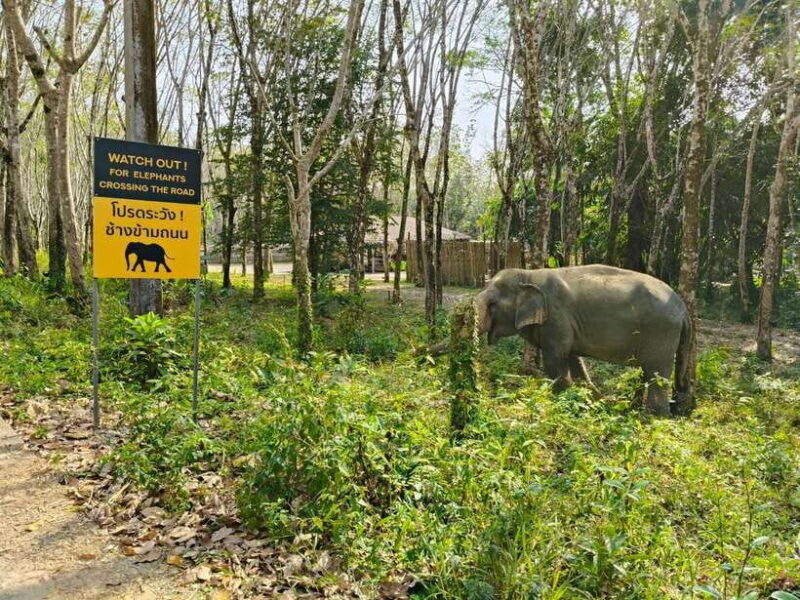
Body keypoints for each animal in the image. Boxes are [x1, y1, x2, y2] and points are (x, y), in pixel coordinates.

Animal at [475, 265, 692, 416]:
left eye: (493, 304)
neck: (528, 275)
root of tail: (682, 308)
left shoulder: (556, 317)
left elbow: (555, 359)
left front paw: (562, 403)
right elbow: (572, 358)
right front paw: (593, 399)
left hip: (661, 333)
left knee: (656, 373)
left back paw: (653, 416)